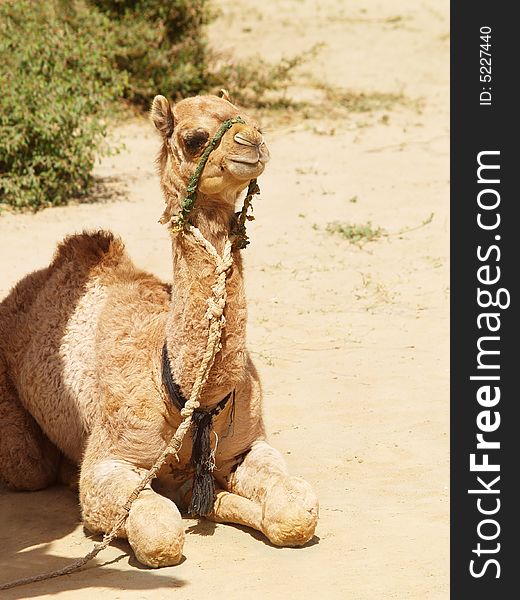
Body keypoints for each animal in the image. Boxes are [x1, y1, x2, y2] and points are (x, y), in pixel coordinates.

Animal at [0, 94, 318, 568]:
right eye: (195, 138)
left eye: (254, 122)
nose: (252, 143)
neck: (179, 387)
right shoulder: (109, 462)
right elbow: (159, 532)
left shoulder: (249, 444)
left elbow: (296, 511)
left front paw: (209, 498)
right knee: (29, 467)